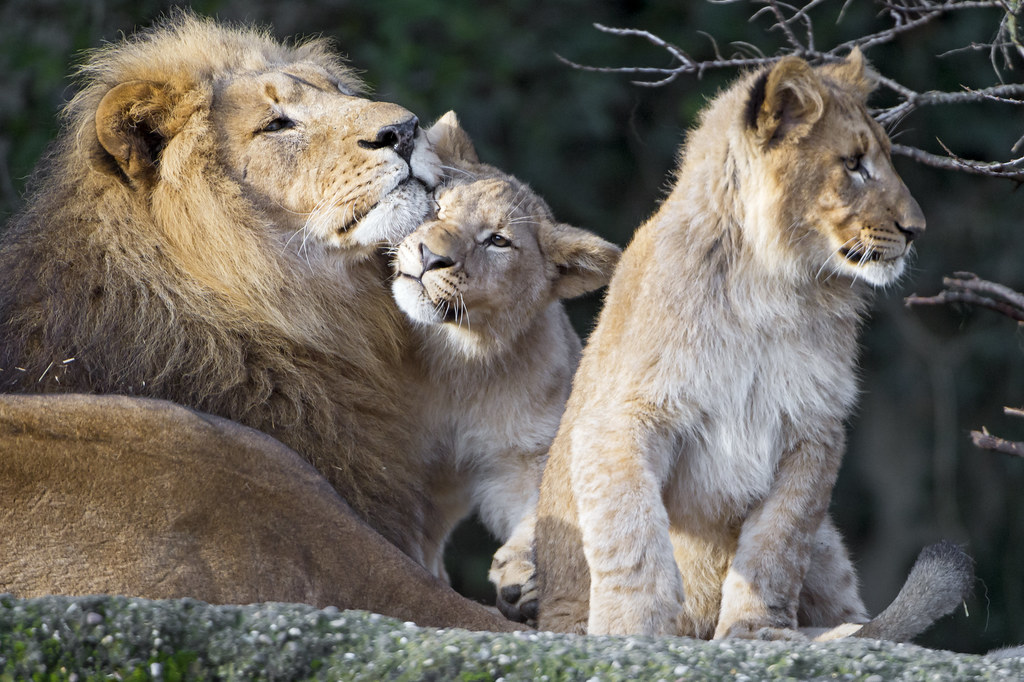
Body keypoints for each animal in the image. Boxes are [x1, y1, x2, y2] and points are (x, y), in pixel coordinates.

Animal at [393, 113, 620, 622]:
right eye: (437, 206)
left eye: (496, 241)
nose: (430, 256)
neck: (458, 359)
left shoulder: (523, 454)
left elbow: (542, 508)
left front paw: (521, 574)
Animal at [534, 50, 970, 641]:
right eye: (854, 163)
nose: (915, 229)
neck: (772, 290)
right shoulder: (624, 415)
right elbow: (632, 530)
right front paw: (630, 628)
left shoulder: (813, 428)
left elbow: (777, 545)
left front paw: (756, 631)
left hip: (830, 541)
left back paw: (839, 632)